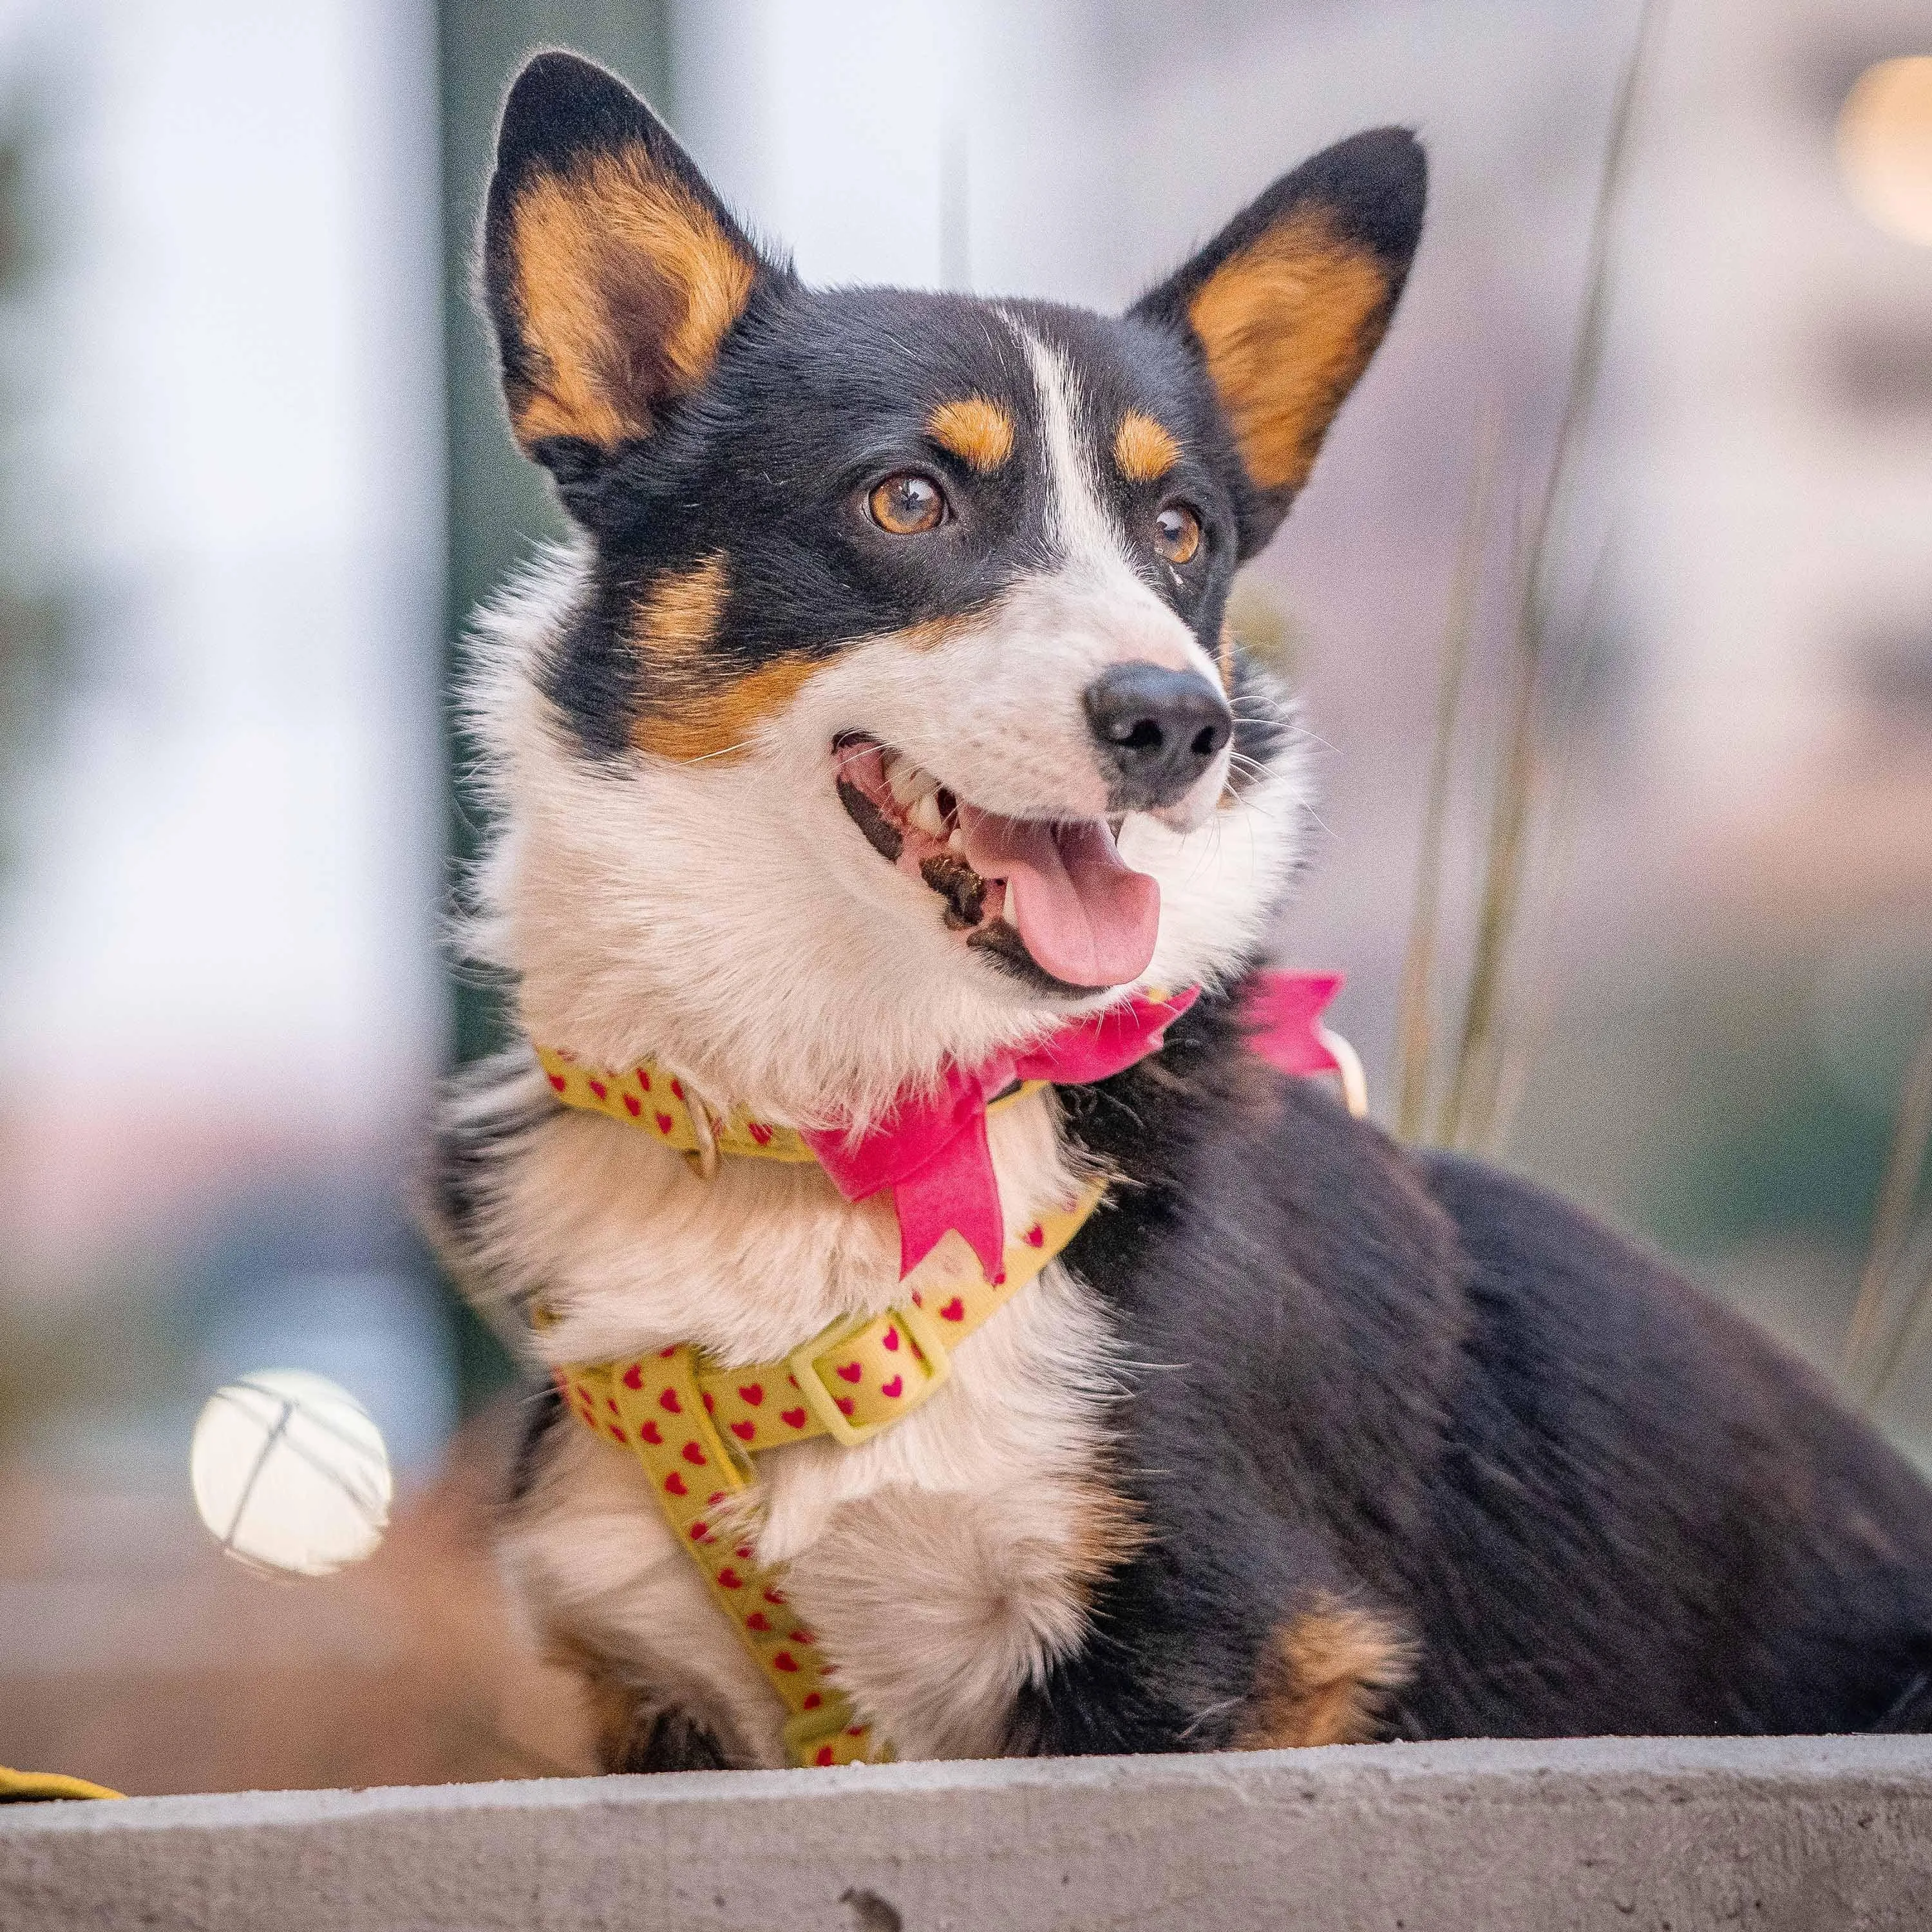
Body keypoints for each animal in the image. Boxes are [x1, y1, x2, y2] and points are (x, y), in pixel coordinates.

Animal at [431, 49, 1932, 1770]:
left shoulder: (1220, 1652)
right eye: (906, 500)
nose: (1176, 721)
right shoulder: (667, 1693)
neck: (865, 1119)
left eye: (1179, 534)